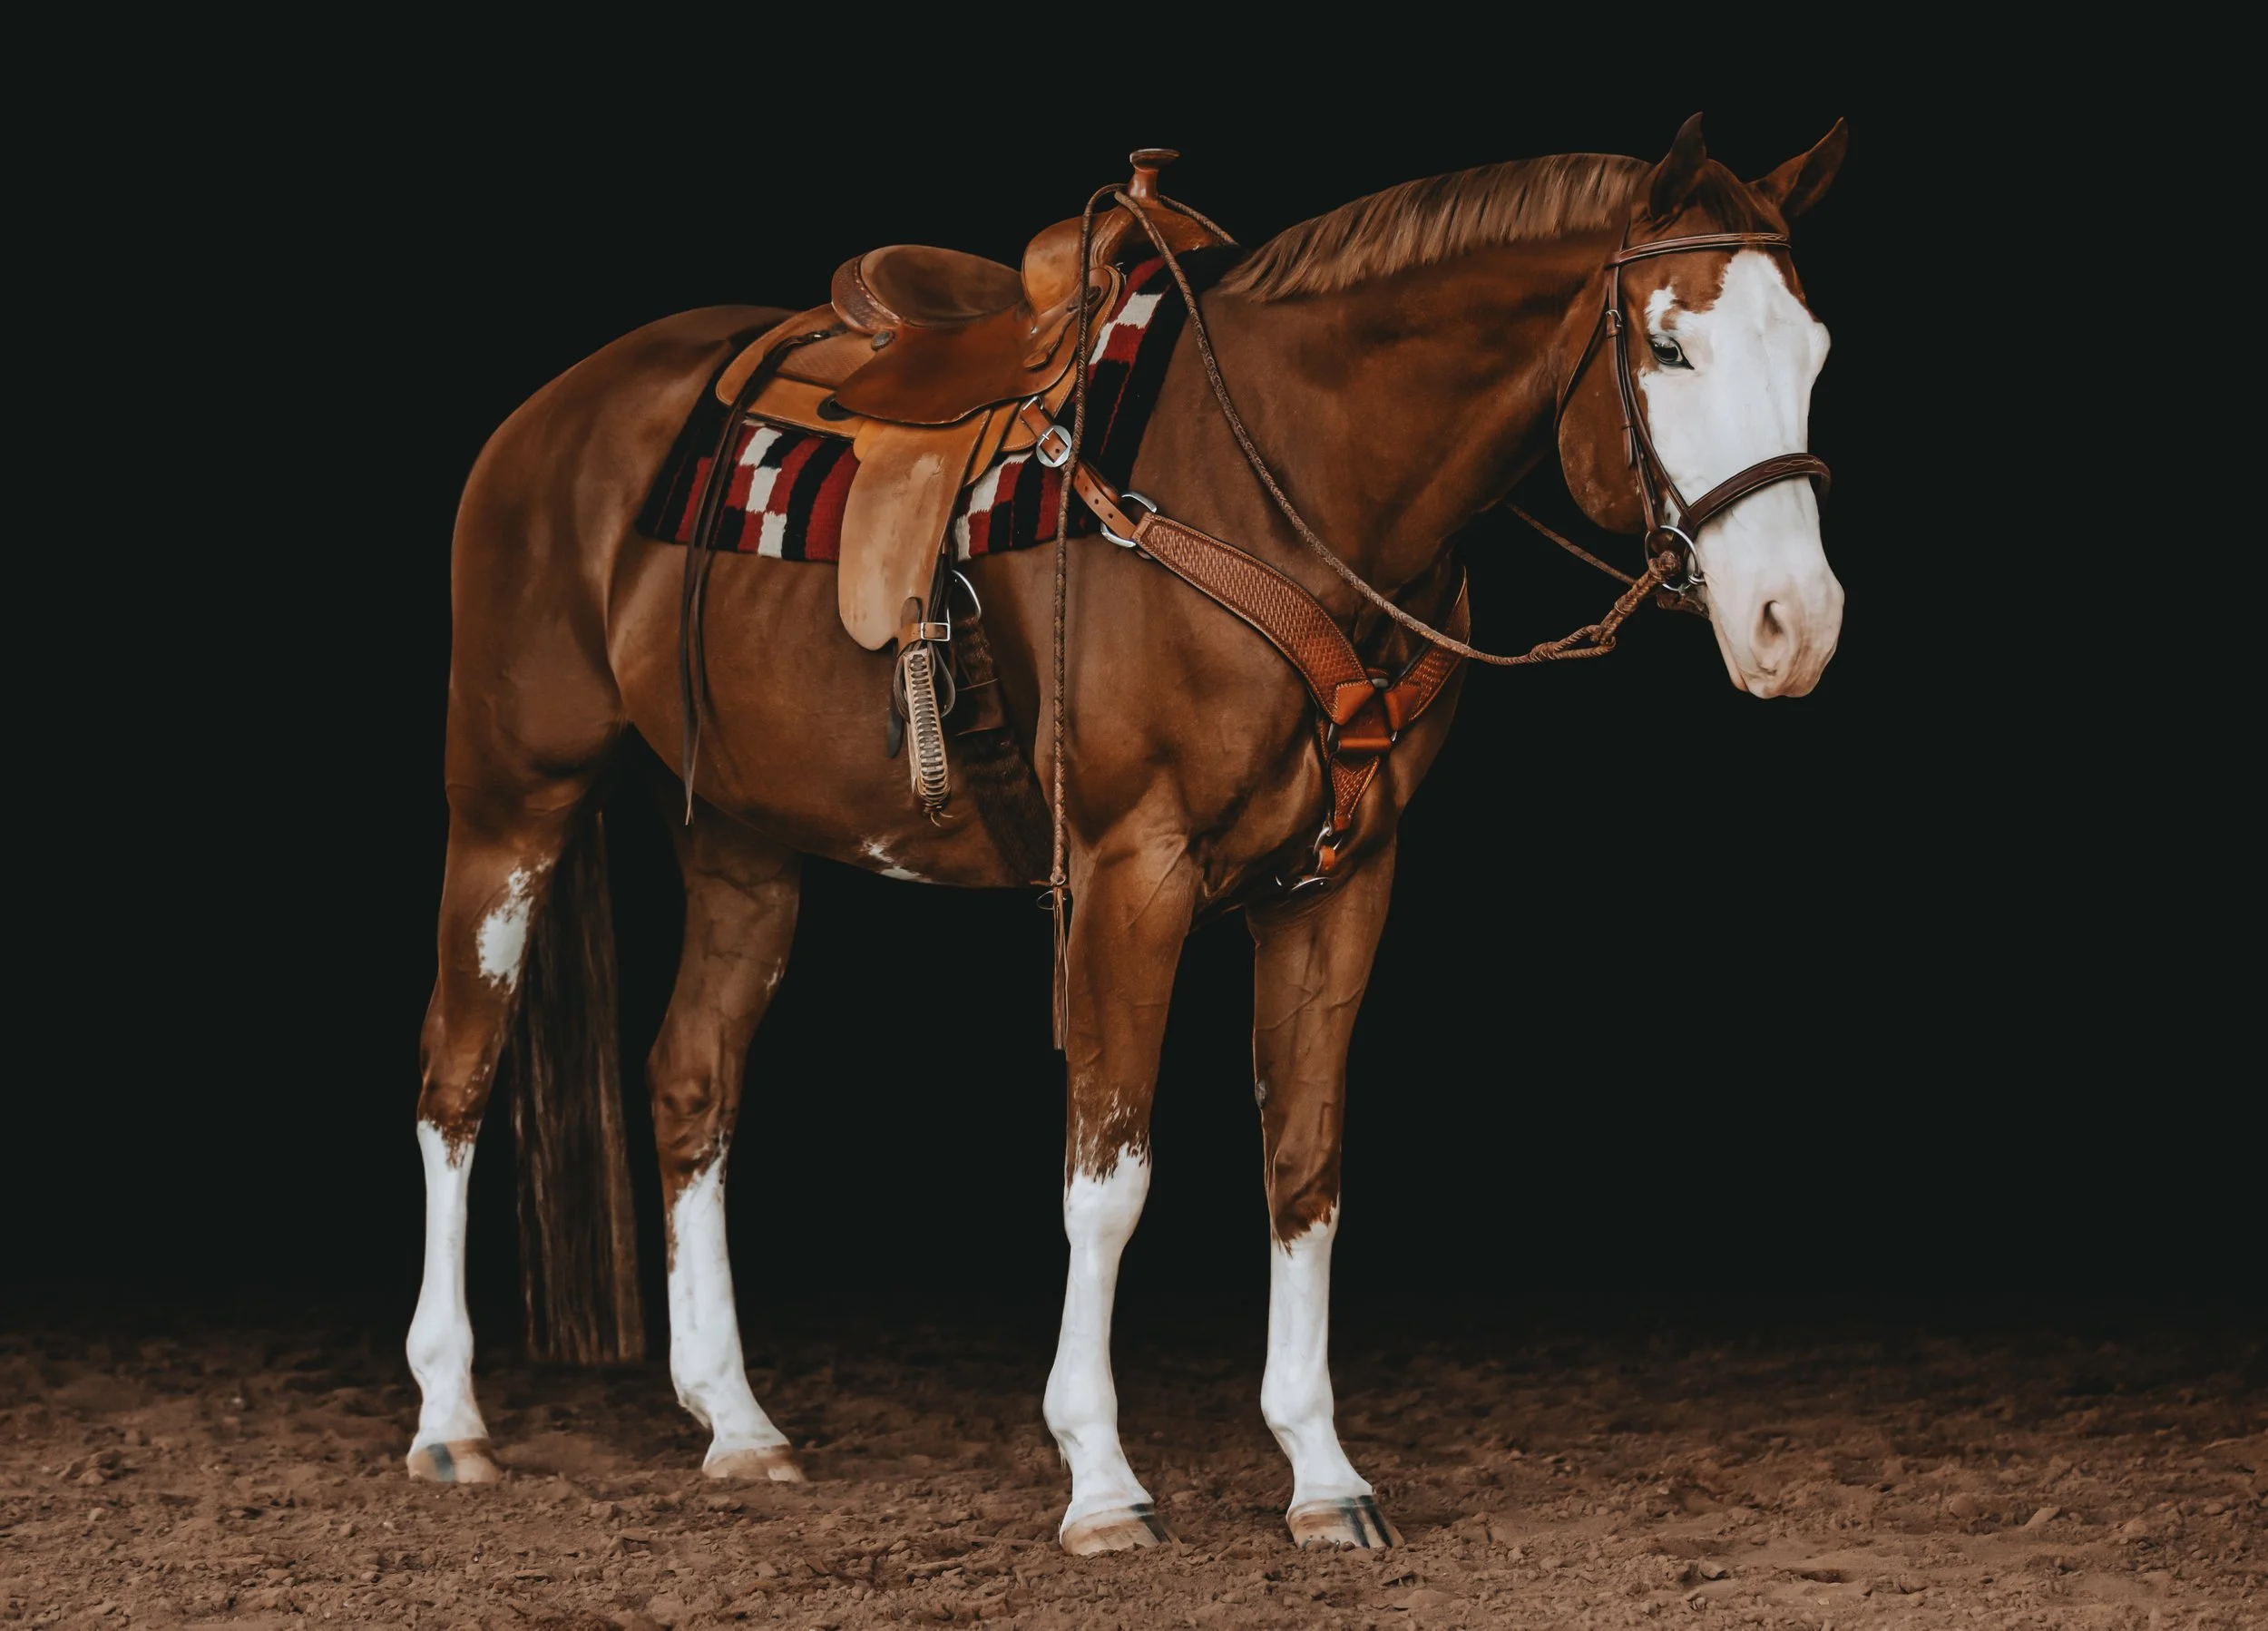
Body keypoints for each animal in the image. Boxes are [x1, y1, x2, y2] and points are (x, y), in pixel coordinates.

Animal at [406, 113, 1848, 1555]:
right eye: (1669, 347)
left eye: (1816, 352)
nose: (1797, 623)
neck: (1281, 481)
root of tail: (559, 410)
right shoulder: (1128, 871)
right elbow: (1108, 1177)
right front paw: (1099, 1477)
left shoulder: (1342, 885)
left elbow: (1303, 1164)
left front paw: (1322, 1472)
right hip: (511, 799)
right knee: (456, 1076)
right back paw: (450, 1419)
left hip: (741, 840)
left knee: (691, 1080)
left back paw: (737, 1421)